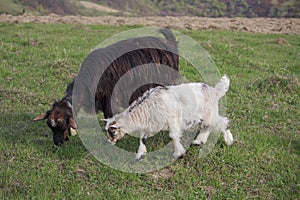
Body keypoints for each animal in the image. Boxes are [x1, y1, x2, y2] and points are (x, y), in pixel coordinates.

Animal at [105, 74, 234, 160]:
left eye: (112, 131)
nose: (109, 142)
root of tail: (214, 91)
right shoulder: (151, 124)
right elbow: (142, 138)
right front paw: (140, 154)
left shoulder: (173, 121)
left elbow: (174, 136)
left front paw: (179, 153)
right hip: (205, 116)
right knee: (208, 127)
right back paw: (198, 141)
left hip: (209, 114)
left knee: (223, 122)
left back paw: (229, 141)